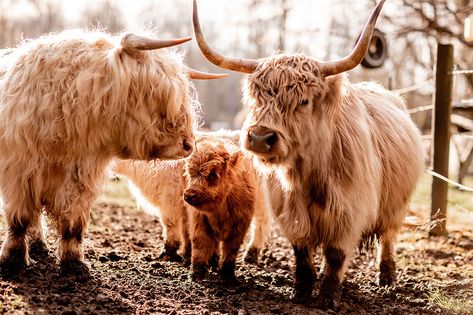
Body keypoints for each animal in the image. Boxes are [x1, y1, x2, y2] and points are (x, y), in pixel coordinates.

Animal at [0, 29, 224, 280]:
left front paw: (73, 264)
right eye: (152, 92)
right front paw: (12, 261)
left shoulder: (81, 175)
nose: (188, 144)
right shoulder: (19, 170)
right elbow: (19, 219)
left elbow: (73, 222)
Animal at [113, 131, 270, 266]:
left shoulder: (169, 201)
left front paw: (168, 254)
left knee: (261, 222)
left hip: (259, 200)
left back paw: (251, 254)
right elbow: (188, 229)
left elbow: (170, 227)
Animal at [192, 0, 424, 312]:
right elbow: (302, 252)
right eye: (257, 97)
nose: (260, 137)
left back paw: (386, 278)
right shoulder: (290, 212)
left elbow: (336, 253)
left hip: (396, 206)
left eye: (303, 101)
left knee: (387, 238)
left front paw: (328, 297)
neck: (309, 176)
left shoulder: (348, 212)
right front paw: (301, 292)